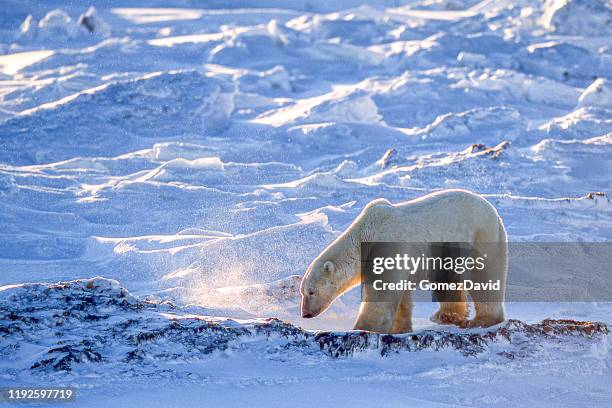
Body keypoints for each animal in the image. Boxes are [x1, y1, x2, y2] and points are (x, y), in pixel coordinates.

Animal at [300, 190, 506, 334]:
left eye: (311, 292)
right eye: (302, 292)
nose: (305, 314)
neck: (363, 234)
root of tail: (495, 214)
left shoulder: (386, 247)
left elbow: (381, 293)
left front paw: (362, 328)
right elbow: (402, 296)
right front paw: (400, 329)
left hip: (480, 236)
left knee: (483, 277)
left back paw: (482, 320)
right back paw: (445, 316)